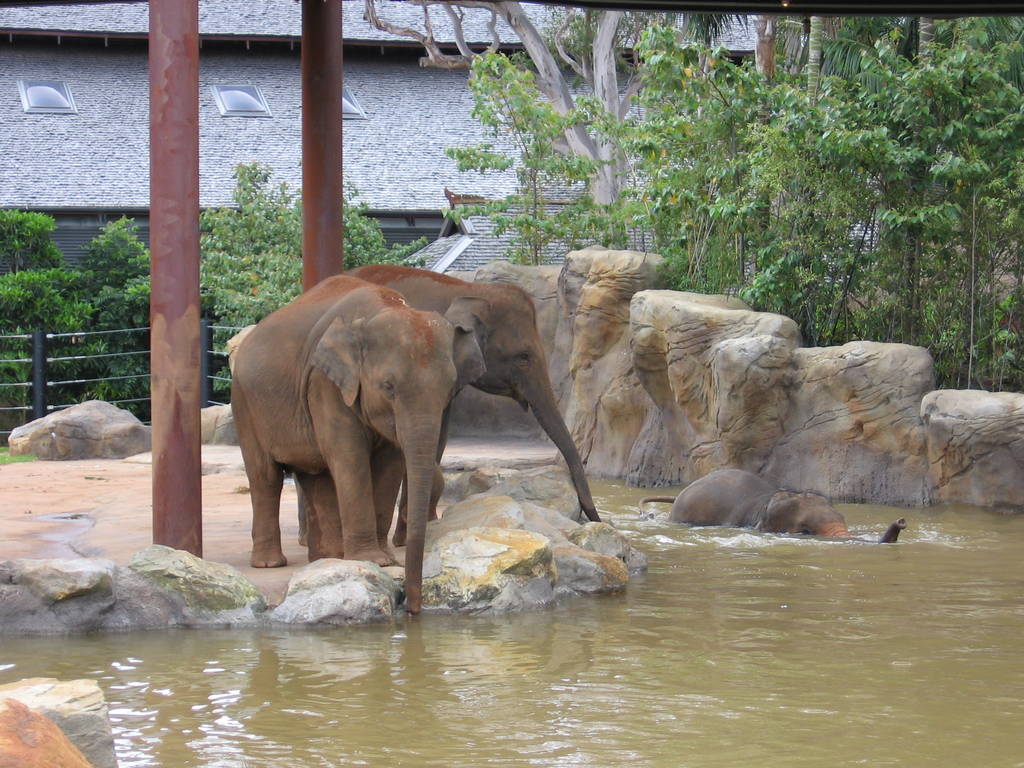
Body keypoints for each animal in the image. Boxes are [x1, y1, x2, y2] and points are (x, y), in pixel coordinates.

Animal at [231, 275, 485, 614]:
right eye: (388, 386)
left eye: (449, 388)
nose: (411, 609)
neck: (383, 307)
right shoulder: (325, 384)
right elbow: (350, 457)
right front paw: (371, 560)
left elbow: (390, 464)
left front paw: (383, 560)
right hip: (245, 404)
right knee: (266, 477)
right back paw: (271, 564)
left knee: (315, 475)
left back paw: (327, 558)